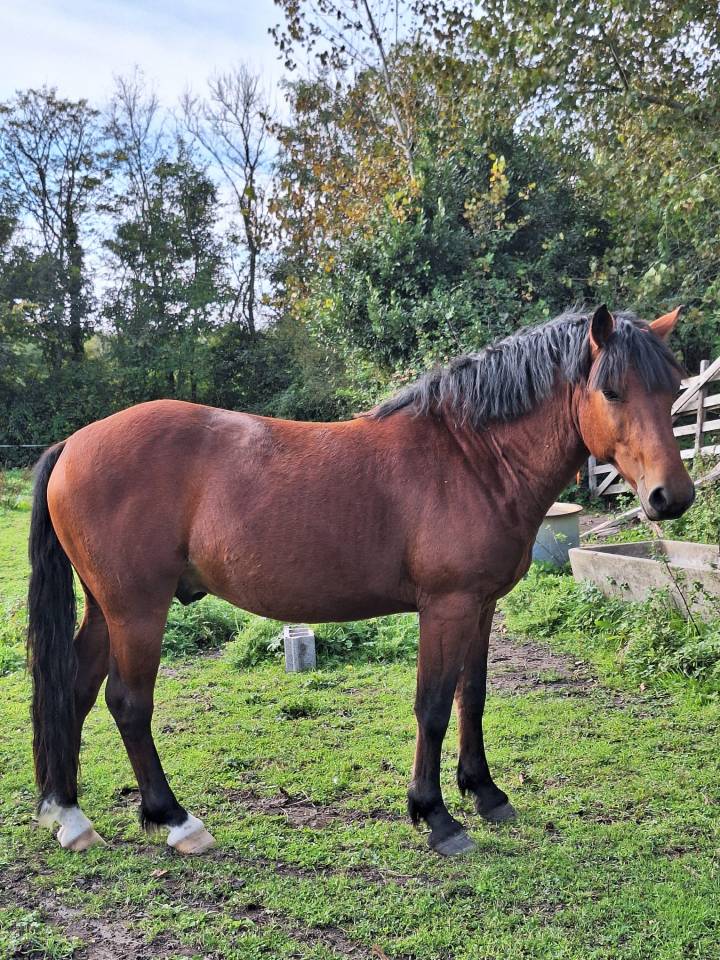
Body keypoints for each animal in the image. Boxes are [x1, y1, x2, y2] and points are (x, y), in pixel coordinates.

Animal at [27, 304, 695, 857]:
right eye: (611, 389)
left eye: (671, 390)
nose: (672, 497)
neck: (471, 459)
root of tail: (73, 443)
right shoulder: (447, 607)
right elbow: (433, 705)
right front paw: (436, 817)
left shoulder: (481, 607)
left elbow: (472, 697)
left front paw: (485, 793)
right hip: (138, 608)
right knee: (128, 702)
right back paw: (176, 820)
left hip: (105, 608)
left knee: (75, 690)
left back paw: (69, 815)